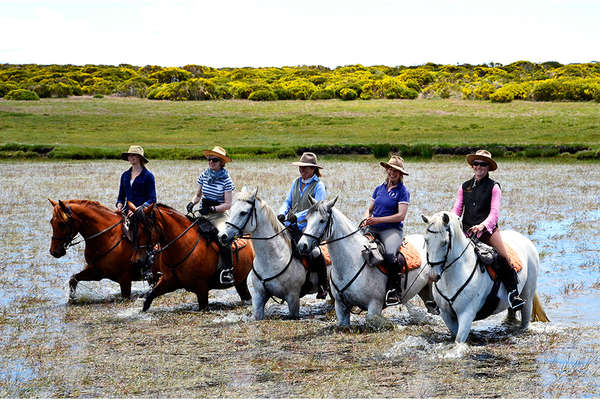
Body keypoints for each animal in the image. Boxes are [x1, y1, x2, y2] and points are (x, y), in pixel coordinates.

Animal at [221, 189, 324, 320]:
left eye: (243, 212)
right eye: (231, 209)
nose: (222, 236)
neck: (273, 259)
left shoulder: (293, 298)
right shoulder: (259, 297)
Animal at [296, 195, 434, 326]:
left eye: (322, 220)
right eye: (306, 219)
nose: (302, 246)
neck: (350, 263)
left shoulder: (374, 306)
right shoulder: (341, 307)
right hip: (425, 290)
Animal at [422, 212, 548, 344]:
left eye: (444, 242)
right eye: (426, 240)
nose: (433, 275)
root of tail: (524, 239)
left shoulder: (466, 314)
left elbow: (459, 340)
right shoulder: (446, 314)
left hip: (527, 295)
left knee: (525, 319)